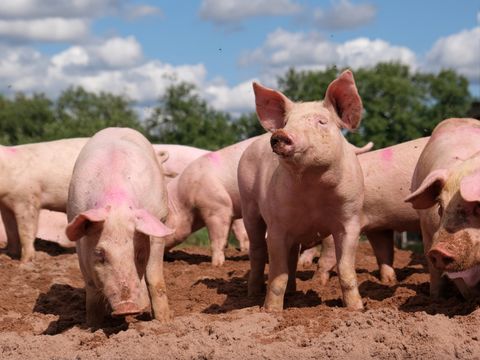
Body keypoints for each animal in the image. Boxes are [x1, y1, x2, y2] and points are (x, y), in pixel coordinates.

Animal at [65, 127, 173, 326]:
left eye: (138, 253)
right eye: (99, 253)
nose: (126, 307)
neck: (116, 200)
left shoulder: (157, 223)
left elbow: (154, 279)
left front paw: (163, 321)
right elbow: (91, 288)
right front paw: (93, 325)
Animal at [238, 71, 366, 312]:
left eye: (321, 121)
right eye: (287, 122)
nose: (280, 134)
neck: (313, 188)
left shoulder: (351, 219)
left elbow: (345, 269)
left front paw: (357, 309)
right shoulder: (277, 225)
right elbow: (277, 274)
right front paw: (271, 312)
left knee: (292, 257)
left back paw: (293, 293)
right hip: (248, 206)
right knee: (257, 251)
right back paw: (252, 296)